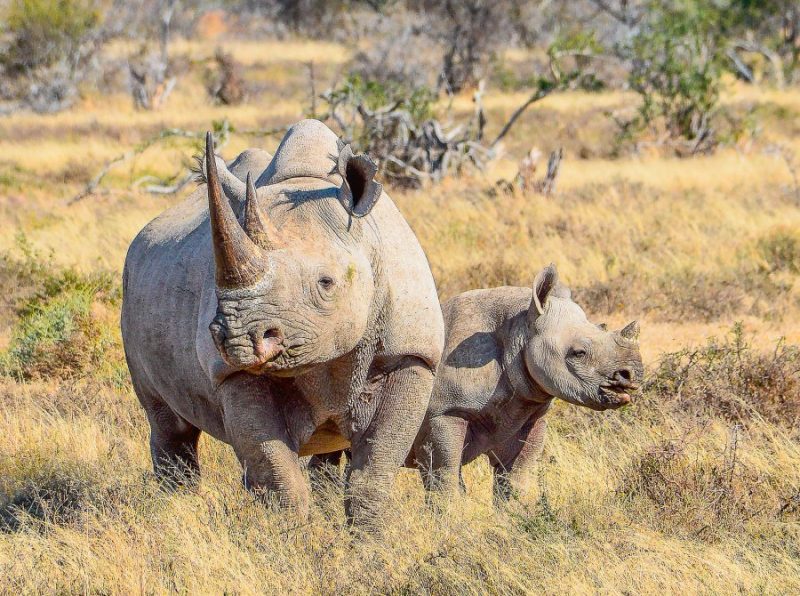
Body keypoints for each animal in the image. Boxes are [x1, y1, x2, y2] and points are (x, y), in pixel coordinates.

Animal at [410, 264, 640, 500]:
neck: (520, 329)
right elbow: (444, 478)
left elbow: (516, 477)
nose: (632, 374)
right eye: (579, 353)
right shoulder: (444, 412)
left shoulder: (526, 412)